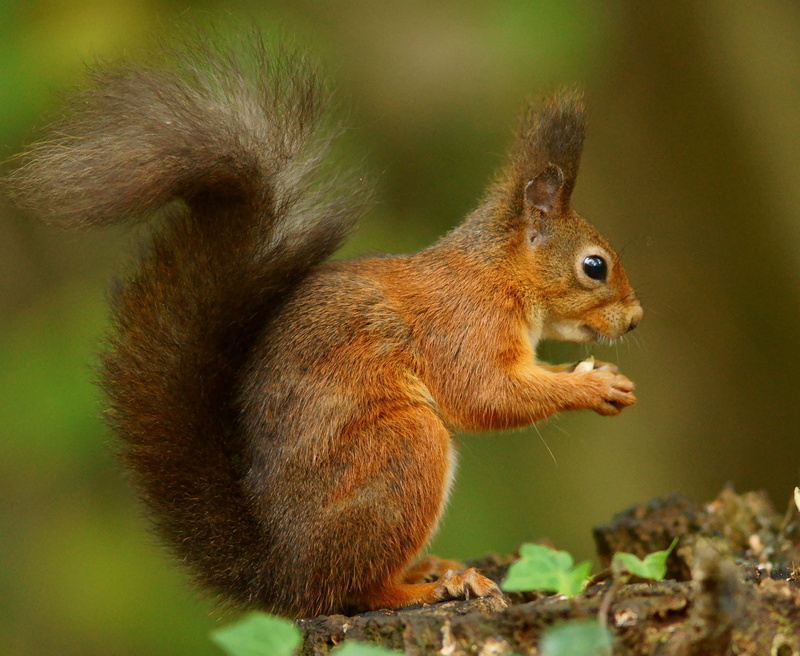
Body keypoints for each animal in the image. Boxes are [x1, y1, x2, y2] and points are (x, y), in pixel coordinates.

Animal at [6, 33, 642, 618]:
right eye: (595, 266)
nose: (636, 320)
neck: (497, 275)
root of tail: (284, 575)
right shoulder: (464, 325)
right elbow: (485, 394)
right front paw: (593, 385)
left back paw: (432, 566)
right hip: (405, 448)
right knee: (359, 590)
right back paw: (433, 586)